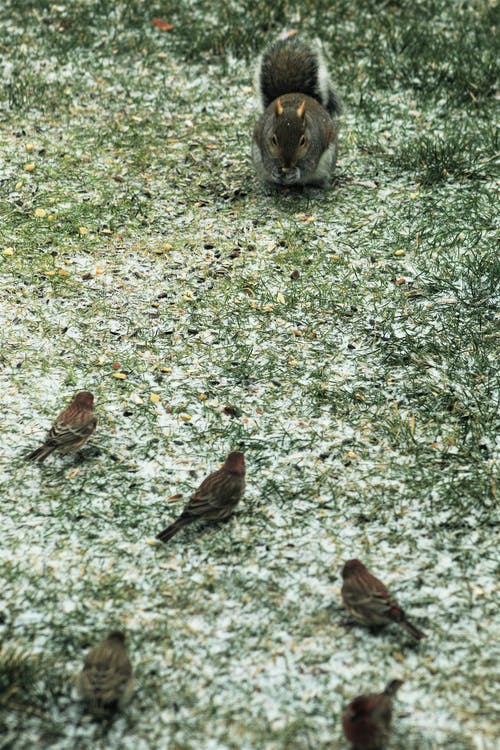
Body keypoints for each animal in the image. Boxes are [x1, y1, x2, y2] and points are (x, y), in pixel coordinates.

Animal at [252, 37, 342, 191]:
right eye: (273, 139)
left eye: (303, 141)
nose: (287, 164)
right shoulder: (264, 147)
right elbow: (268, 163)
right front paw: (275, 172)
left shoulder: (314, 150)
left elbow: (308, 167)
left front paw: (296, 173)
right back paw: (270, 186)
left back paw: (315, 188)